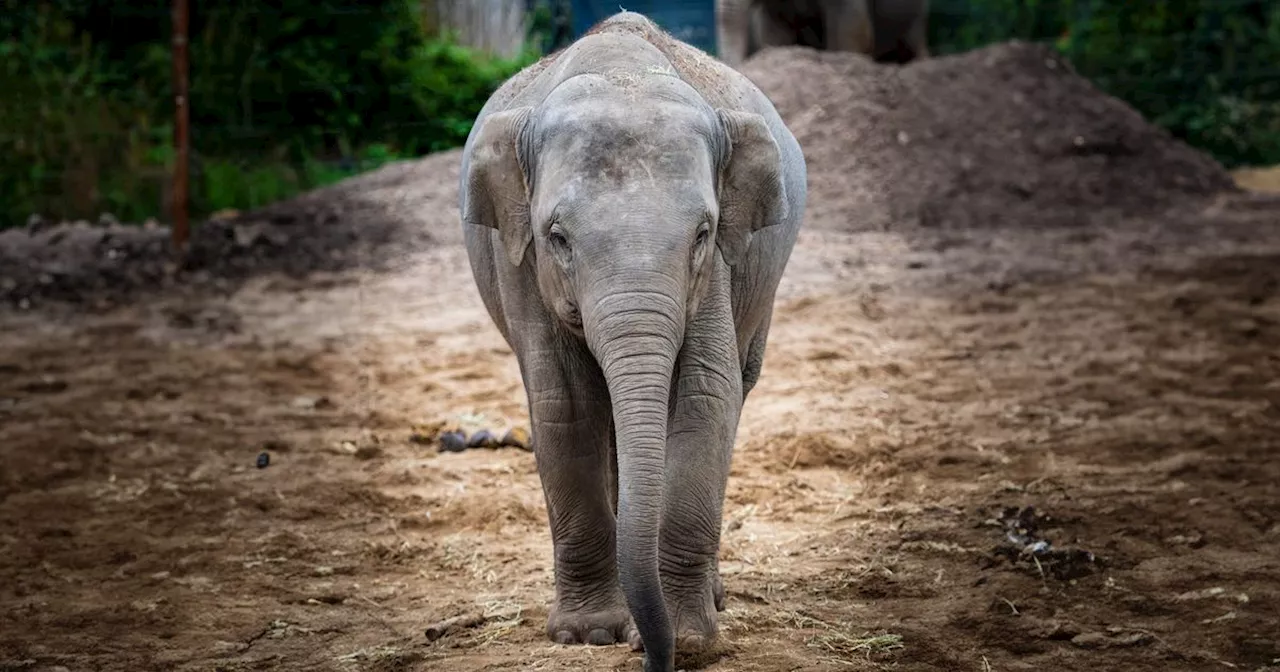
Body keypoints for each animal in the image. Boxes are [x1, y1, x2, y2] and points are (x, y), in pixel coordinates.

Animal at [455, 9, 803, 670]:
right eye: (557, 237)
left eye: (703, 232)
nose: (654, 658)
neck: (623, 71)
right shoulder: (520, 261)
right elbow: (564, 408)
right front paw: (590, 635)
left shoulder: (716, 272)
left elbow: (706, 398)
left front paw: (688, 639)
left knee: (737, 387)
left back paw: (710, 599)